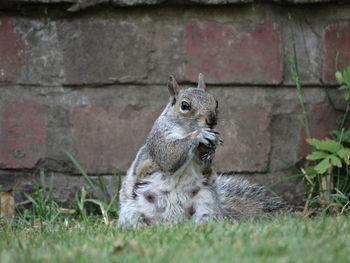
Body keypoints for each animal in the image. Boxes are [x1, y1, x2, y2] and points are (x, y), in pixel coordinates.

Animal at [117, 73, 288, 227]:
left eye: (216, 102)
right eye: (184, 105)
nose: (211, 120)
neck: (187, 129)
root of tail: (173, 223)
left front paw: (210, 149)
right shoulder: (159, 136)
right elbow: (169, 156)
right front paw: (200, 135)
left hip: (205, 205)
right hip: (134, 212)